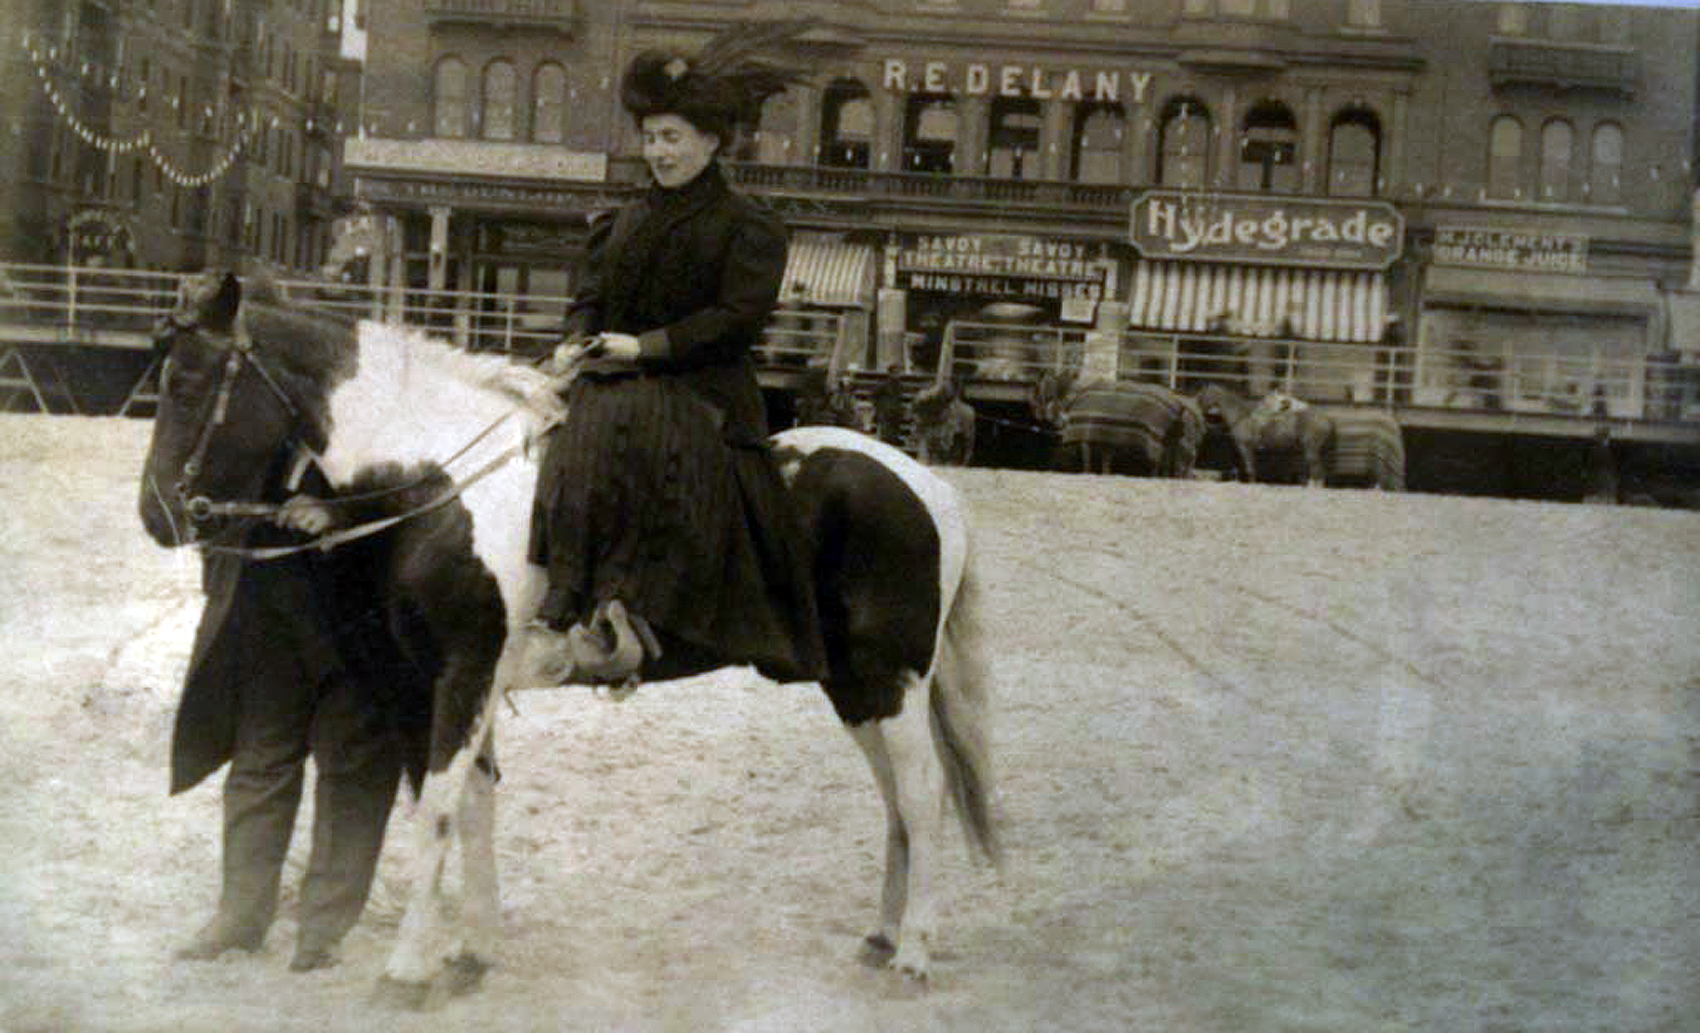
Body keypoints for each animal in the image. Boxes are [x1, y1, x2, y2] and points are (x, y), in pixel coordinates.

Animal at [142, 270, 1006, 1005]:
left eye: (186, 384)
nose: (158, 514)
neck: (444, 482)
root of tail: (928, 485)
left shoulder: (459, 675)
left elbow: (439, 813)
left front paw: (406, 970)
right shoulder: (461, 681)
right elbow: (475, 806)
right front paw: (471, 952)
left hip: (891, 679)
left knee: (922, 795)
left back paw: (915, 952)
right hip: (853, 686)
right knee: (897, 801)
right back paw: (885, 934)